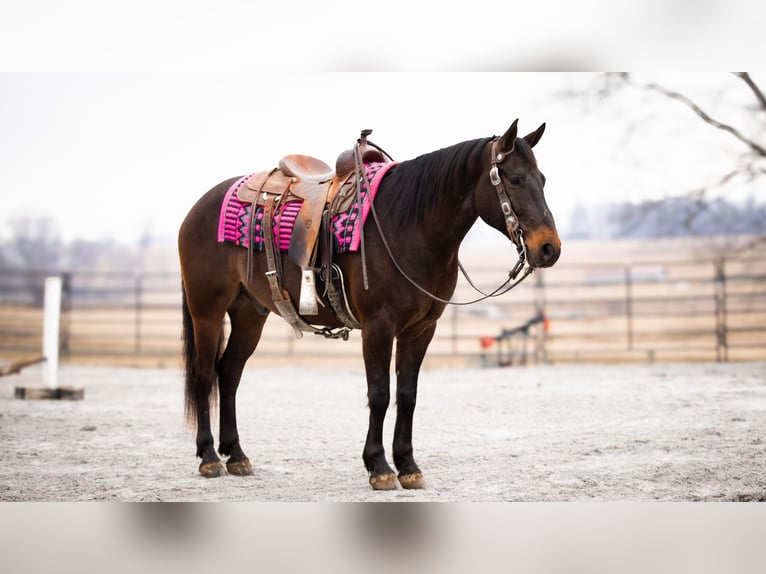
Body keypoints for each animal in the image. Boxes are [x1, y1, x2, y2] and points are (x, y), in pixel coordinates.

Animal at [180, 120, 564, 490]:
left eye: (543, 180)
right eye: (515, 179)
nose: (549, 248)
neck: (409, 226)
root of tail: (198, 207)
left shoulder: (420, 330)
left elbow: (407, 394)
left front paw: (408, 466)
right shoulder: (378, 327)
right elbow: (379, 394)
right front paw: (379, 467)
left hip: (249, 314)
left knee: (229, 372)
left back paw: (236, 455)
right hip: (207, 311)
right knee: (204, 373)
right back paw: (209, 457)